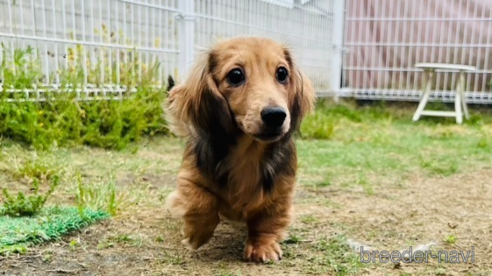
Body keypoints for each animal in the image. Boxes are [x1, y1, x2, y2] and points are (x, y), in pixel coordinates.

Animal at [165, 37, 316, 264]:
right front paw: (196, 234)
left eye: (282, 73)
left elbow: (268, 219)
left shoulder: (281, 190)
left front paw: (263, 246)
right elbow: (201, 201)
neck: (248, 153)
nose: (275, 115)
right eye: (235, 75)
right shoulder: (189, 178)